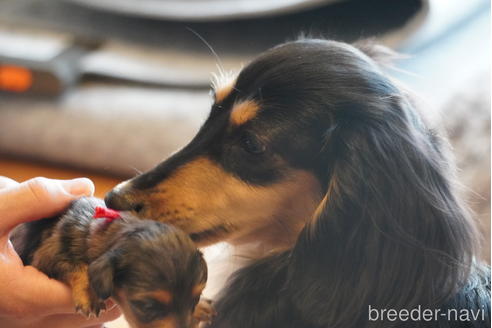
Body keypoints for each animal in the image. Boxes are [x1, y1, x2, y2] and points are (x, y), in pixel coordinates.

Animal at [12, 197, 212, 328]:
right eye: (147, 306)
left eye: (196, 297)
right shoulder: (47, 255)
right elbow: (78, 266)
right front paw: (90, 293)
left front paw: (200, 308)